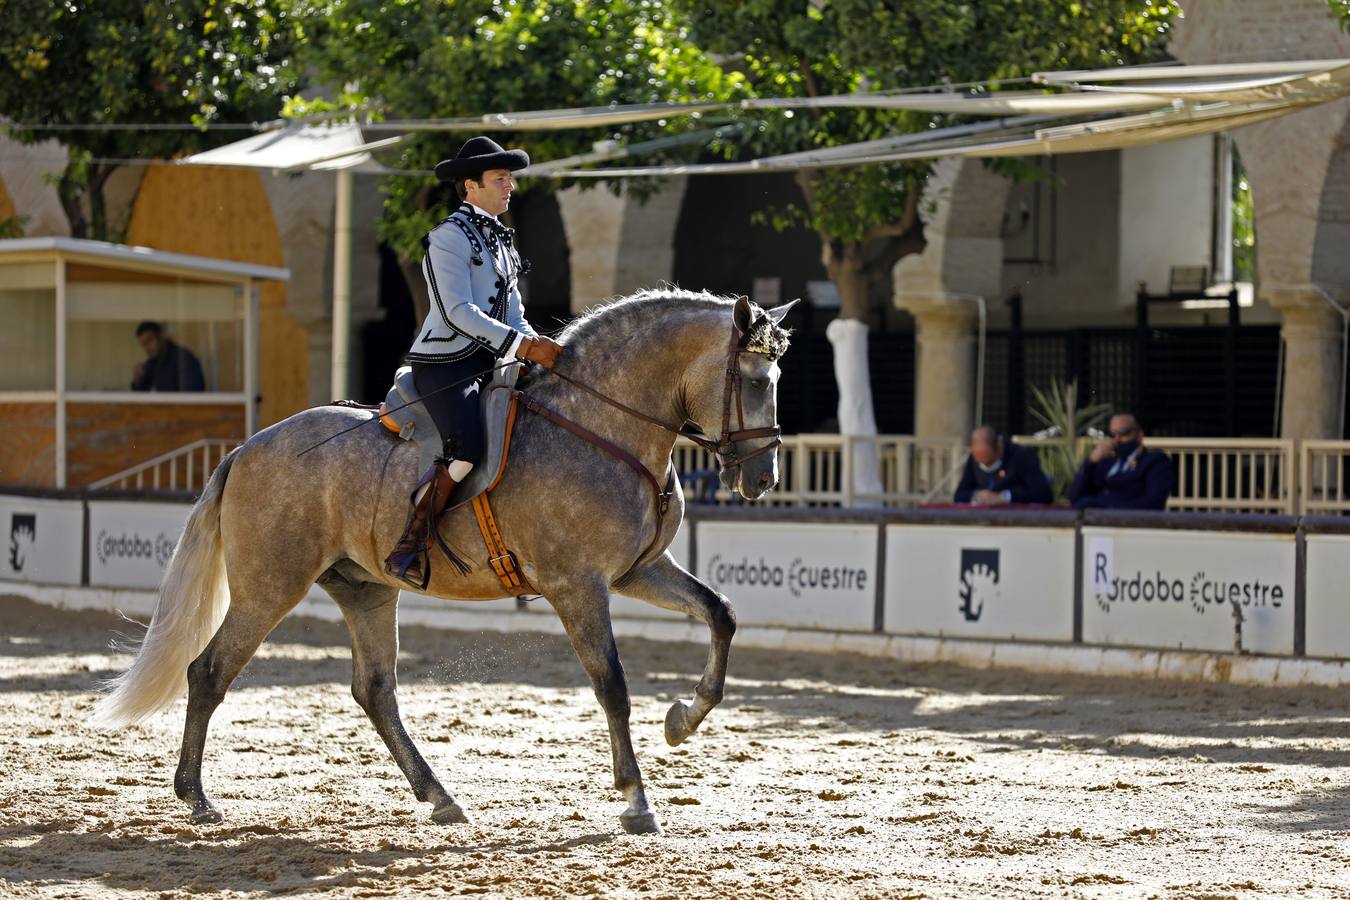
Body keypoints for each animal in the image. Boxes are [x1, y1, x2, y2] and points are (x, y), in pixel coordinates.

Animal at [92, 292, 788, 836]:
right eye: (756, 382)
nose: (762, 478)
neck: (599, 423)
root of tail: (248, 447)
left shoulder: (638, 571)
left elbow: (721, 614)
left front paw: (682, 720)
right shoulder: (579, 587)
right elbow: (611, 684)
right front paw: (637, 800)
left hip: (366, 590)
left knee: (375, 691)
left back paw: (440, 796)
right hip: (270, 587)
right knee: (209, 672)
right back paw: (196, 798)